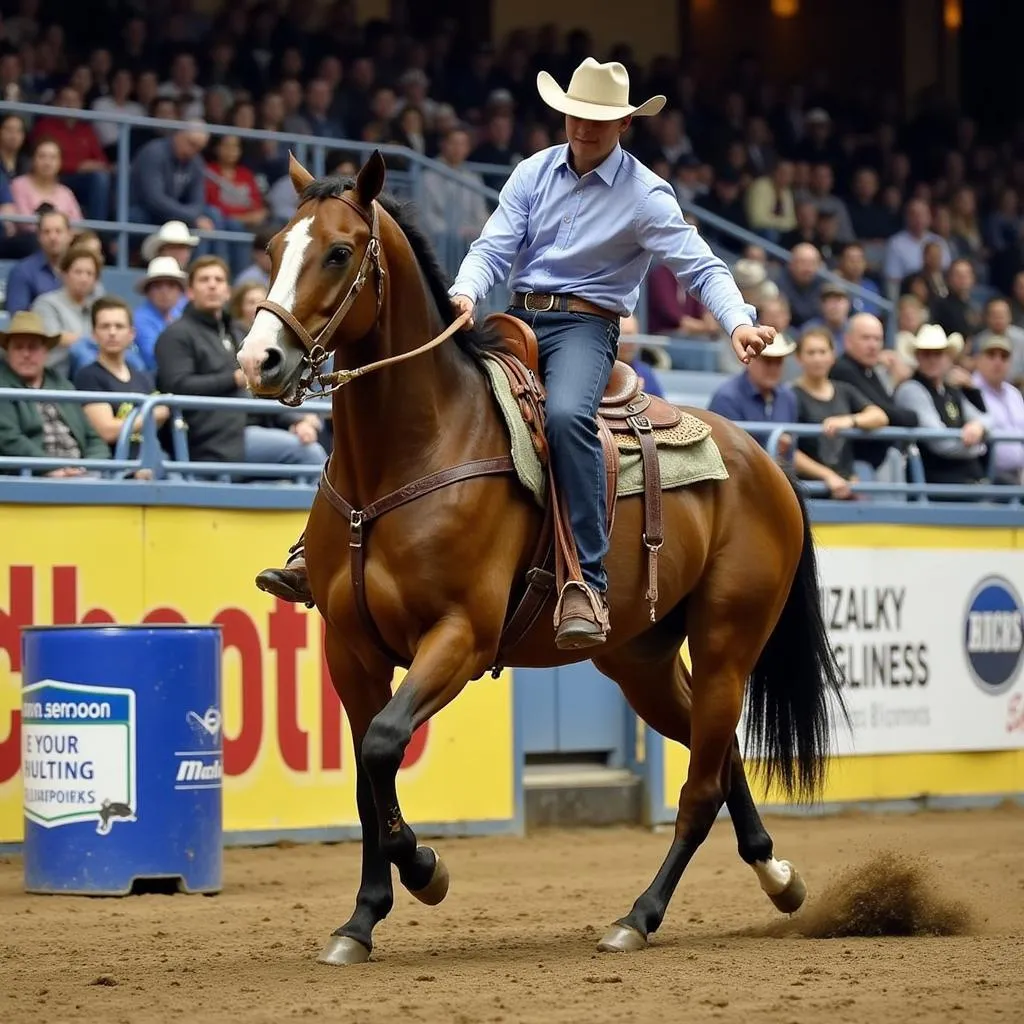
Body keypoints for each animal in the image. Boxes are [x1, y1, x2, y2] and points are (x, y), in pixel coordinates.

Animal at [235, 149, 843, 958]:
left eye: (337, 252)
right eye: (275, 248)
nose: (260, 359)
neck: (407, 453)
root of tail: (764, 460)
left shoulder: (459, 637)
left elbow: (386, 744)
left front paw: (426, 871)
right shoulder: (350, 648)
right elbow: (367, 773)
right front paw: (360, 920)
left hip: (726, 643)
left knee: (702, 785)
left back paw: (637, 918)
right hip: (640, 659)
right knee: (717, 755)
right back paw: (776, 875)